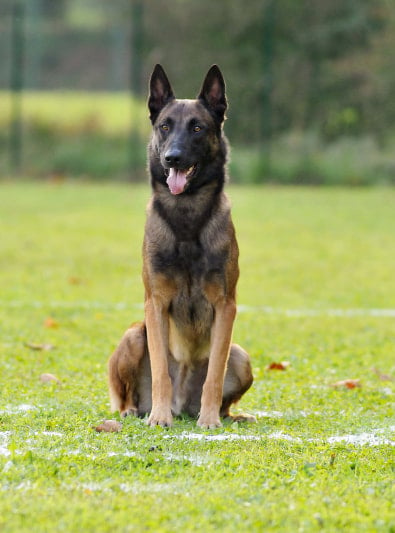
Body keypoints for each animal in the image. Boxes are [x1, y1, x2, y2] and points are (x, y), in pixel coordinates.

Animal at [108, 63, 255, 428]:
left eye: (198, 128)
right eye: (165, 126)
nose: (172, 158)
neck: (187, 218)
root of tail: (182, 403)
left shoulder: (225, 306)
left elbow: (214, 372)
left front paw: (210, 419)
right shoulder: (156, 303)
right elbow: (161, 368)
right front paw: (159, 417)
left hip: (242, 357)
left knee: (223, 385)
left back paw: (227, 415)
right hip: (134, 335)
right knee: (125, 398)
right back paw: (138, 410)